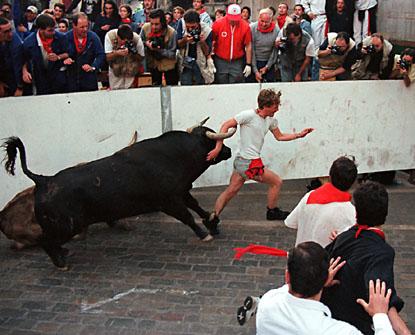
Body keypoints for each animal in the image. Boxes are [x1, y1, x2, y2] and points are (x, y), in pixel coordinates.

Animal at [3, 122, 236, 270]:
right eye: (213, 142)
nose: (229, 151)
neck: (174, 155)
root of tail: (43, 180)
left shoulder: (181, 191)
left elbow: (197, 207)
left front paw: (212, 222)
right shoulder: (168, 201)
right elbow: (187, 216)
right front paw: (203, 233)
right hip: (66, 226)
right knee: (46, 241)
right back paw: (61, 262)